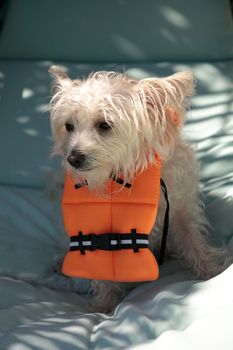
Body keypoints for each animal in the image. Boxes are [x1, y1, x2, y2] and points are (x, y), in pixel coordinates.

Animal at [48, 67, 230, 314]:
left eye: (104, 125)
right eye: (69, 126)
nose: (73, 159)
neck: (121, 175)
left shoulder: (181, 209)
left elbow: (193, 240)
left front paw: (211, 271)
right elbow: (100, 265)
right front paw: (103, 304)